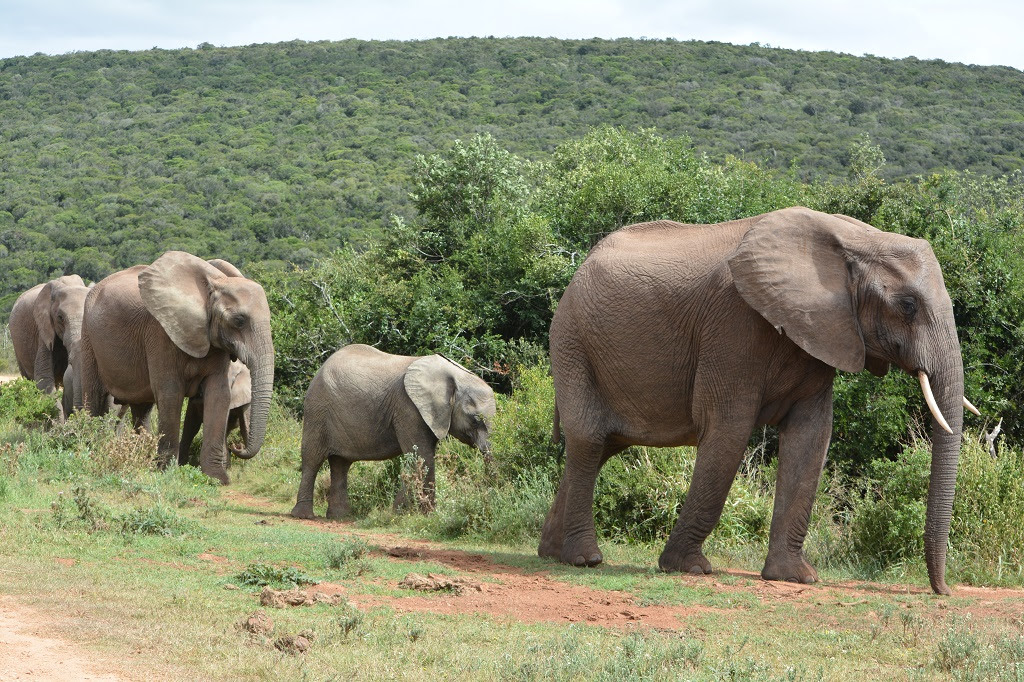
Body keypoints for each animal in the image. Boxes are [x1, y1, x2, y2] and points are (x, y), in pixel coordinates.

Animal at [79, 250, 274, 483]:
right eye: (239, 320)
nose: (237, 446)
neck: (211, 287)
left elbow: (219, 394)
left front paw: (217, 478)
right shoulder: (160, 332)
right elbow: (170, 393)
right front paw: (167, 472)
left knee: (142, 408)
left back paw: (144, 457)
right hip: (88, 336)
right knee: (94, 397)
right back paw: (92, 451)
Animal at [290, 342, 497, 518]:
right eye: (475, 420)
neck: (455, 376)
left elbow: (423, 456)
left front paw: (427, 515)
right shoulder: (408, 408)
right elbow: (421, 456)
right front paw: (401, 514)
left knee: (341, 464)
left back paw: (340, 517)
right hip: (317, 410)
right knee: (312, 459)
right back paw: (303, 515)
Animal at [536, 204, 974, 593]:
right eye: (908, 306)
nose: (942, 591)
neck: (854, 239)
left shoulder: (822, 333)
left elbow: (811, 438)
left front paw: (795, 577)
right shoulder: (732, 326)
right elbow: (728, 432)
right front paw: (688, 568)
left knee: (603, 446)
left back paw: (551, 554)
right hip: (571, 341)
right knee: (589, 439)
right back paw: (584, 559)